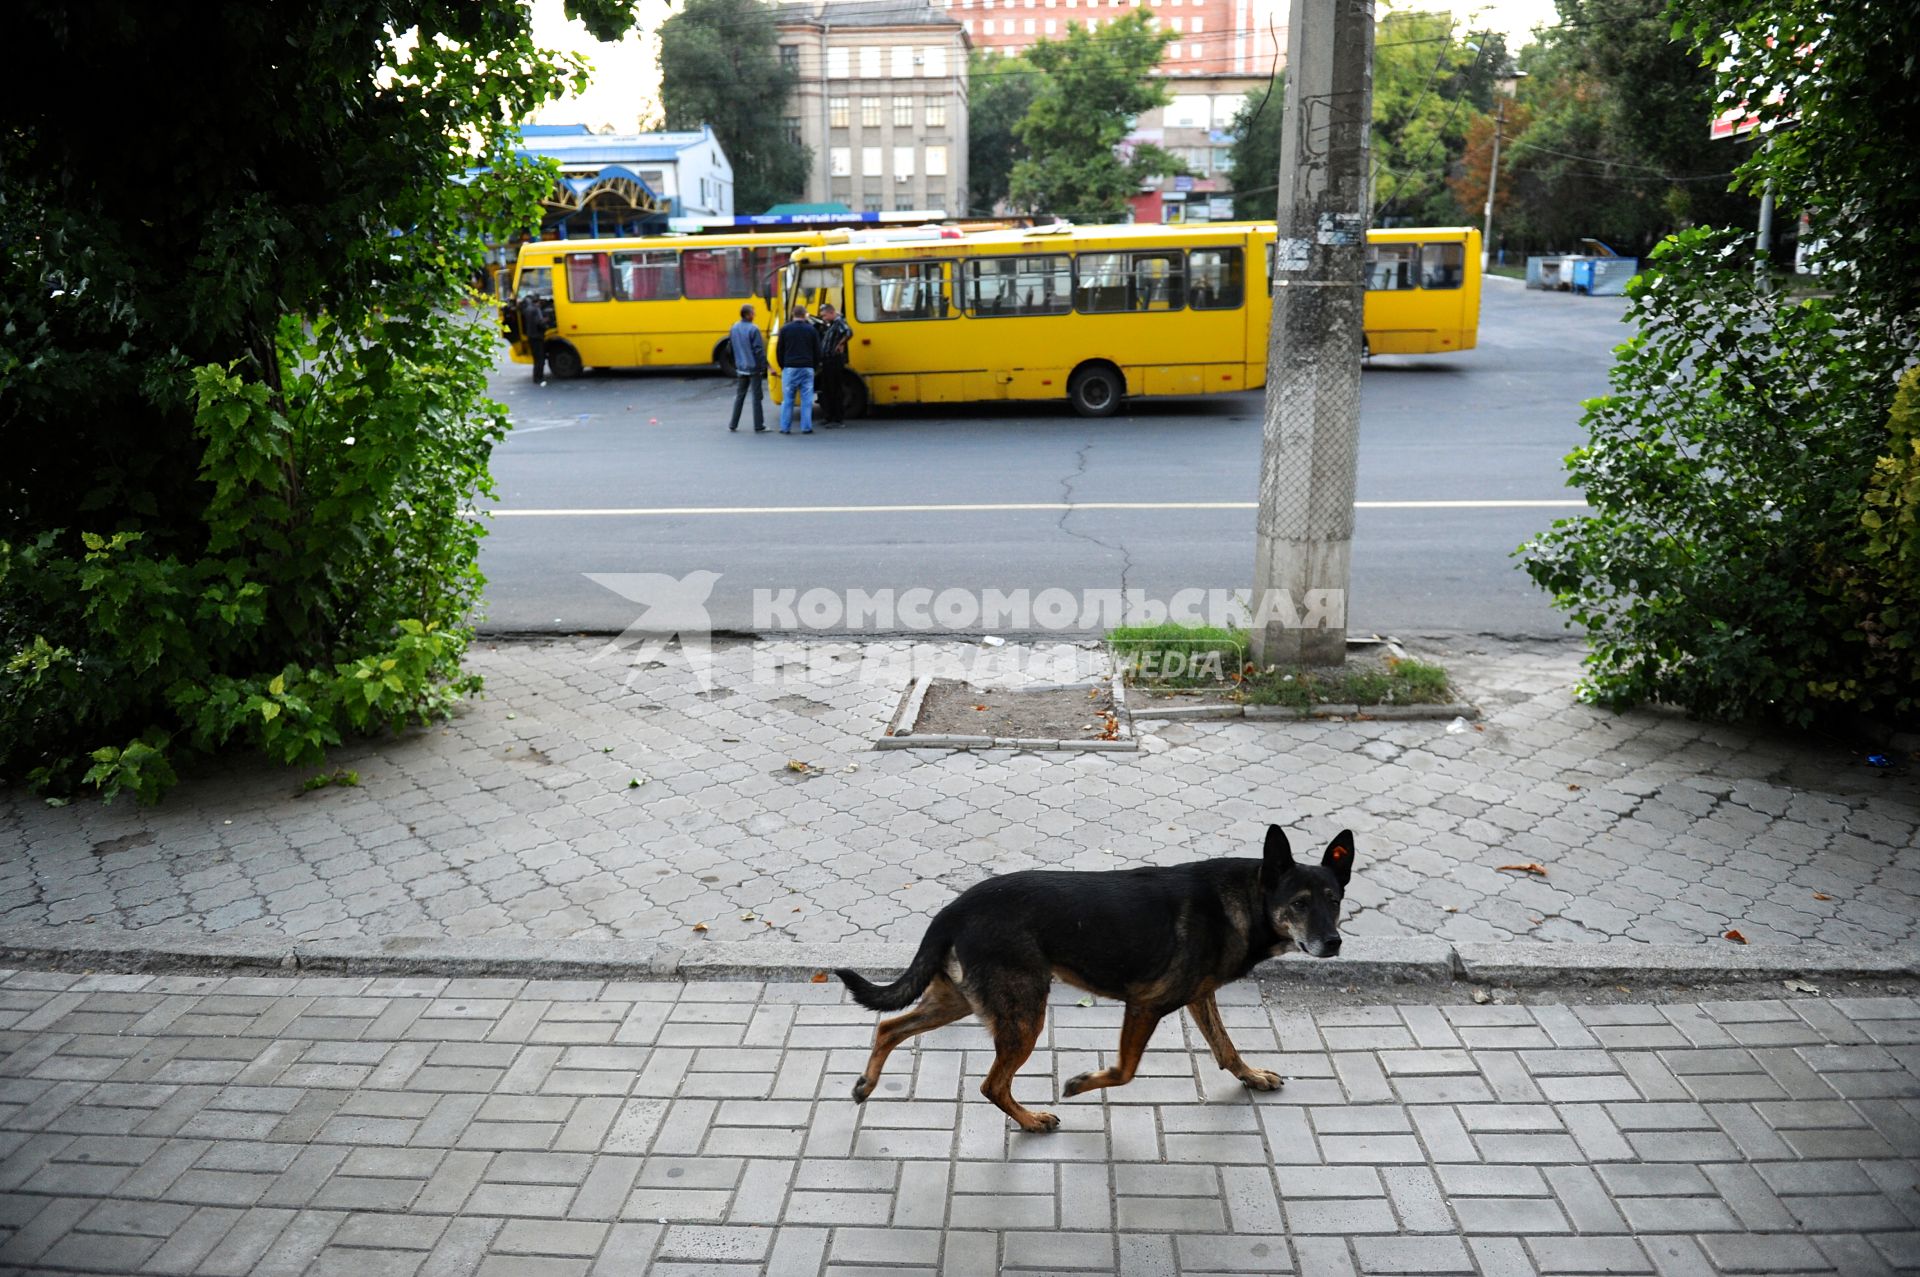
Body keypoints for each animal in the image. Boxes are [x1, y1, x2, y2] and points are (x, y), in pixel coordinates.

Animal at [837, 825, 1351, 1129]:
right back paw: (1031, 1120)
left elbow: (1226, 1048)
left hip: (960, 1000)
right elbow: (1124, 1071)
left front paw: (1252, 1077)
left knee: (888, 1026)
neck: (1246, 899)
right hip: (1023, 1016)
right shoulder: (1145, 1005)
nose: (1334, 943)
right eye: (1300, 903)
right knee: (990, 1085)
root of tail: (952, 910)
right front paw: (1080, 1083)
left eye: (1334, 900)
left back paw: (866, 1085)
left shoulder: (1198, 998)